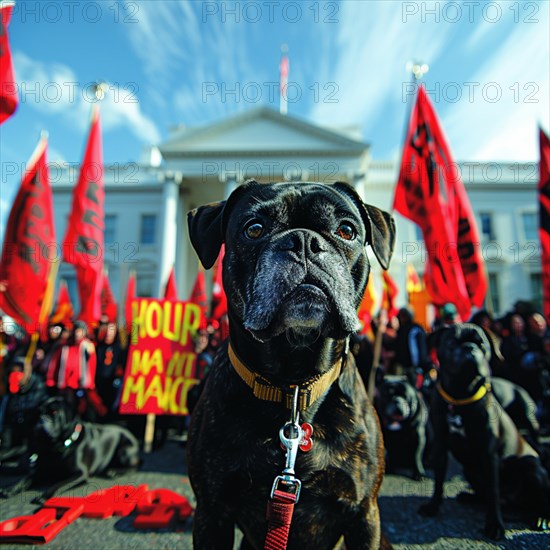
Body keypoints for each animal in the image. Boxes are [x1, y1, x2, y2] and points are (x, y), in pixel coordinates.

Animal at [1, 396, 142, 504]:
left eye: (54, 413)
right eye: (37, 413)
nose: (40, 421)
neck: (55, 448)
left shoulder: (80, 473)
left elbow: (58, 483)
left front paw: (44, 496)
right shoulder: (40, 470)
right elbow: (25, 478)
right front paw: (11, 489)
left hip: (124, 450)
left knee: (135, 466)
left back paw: (113, 471)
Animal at [188, 182, 394, 550]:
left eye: (347, 230)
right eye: (254, 228)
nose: (303, 241)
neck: (294, 384)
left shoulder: (363, 514)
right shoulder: (212, 514)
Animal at [420, 326, 548, 540]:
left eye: (482, 344)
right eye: (452, 343)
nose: (469, 348)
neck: (460, 396)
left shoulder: (489, 454)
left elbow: (493, 492)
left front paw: (494, 525)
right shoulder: (440, 444)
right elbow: (438, 479)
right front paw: (433, 506)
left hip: (532, 468)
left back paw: (541, 517)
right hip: (468, 469)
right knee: (484, 494)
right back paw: (469, 496)